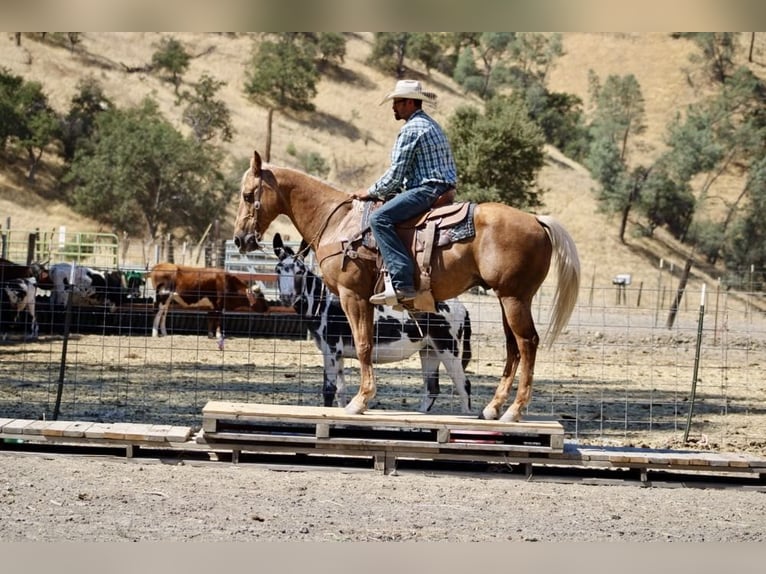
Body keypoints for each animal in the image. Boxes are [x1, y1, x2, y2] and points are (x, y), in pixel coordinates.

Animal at [272, 234, 472, 414]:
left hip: (448, 348)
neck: (324, 304)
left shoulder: (331, 350)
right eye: (278, 270)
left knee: (463, 385)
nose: (286, 298)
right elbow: (340, 391)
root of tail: (462, 307)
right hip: (429, 351)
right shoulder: (338, 355)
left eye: (300, 271)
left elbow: (328, 390)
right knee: (432, 389)